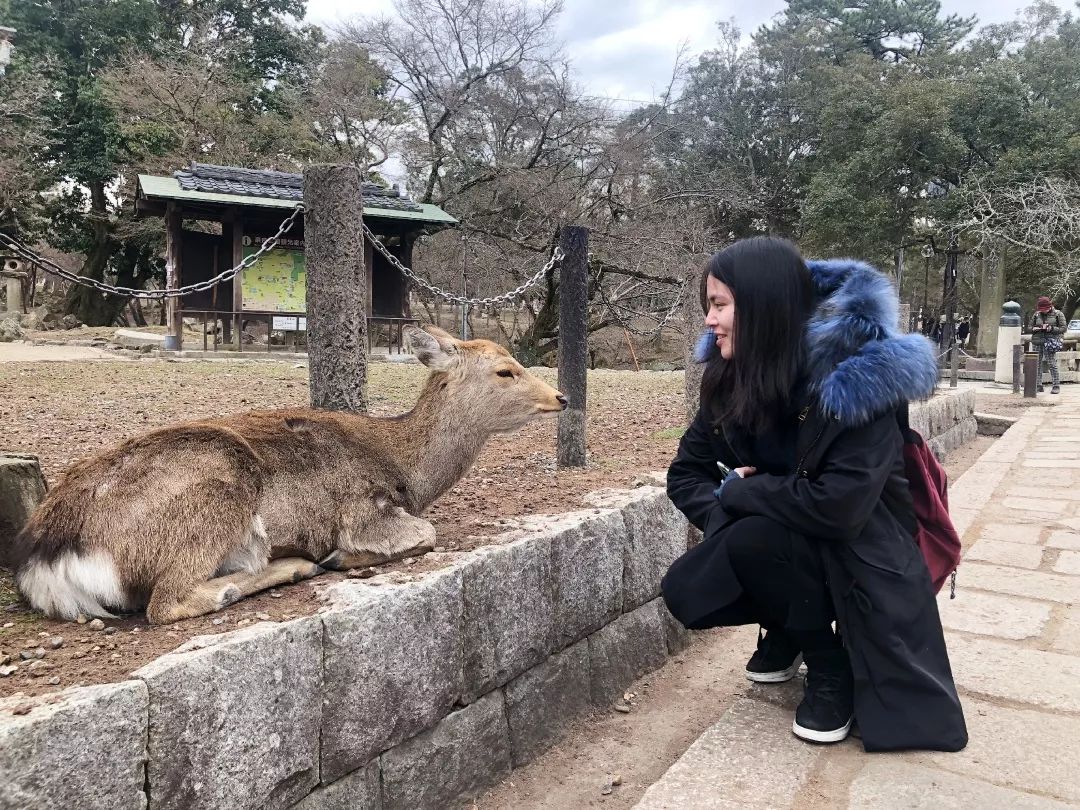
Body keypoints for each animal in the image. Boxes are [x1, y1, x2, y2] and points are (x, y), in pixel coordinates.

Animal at [10, 326, 565, 626]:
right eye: (505, 371)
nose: (560, 396)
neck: (405, 468)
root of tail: (44, 556)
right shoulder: (362, 507)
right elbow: (425, 533)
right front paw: (344, 556)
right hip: (214, 489)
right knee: (167, 601)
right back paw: (289, 567)